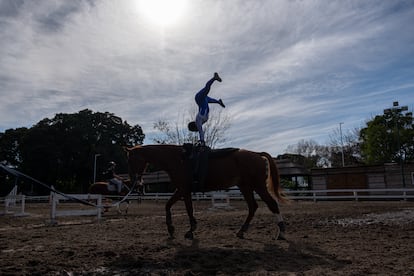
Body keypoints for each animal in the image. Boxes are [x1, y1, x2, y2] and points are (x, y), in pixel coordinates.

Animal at [126, 143, 288, 240]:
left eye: (131, 161)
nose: (134, 180)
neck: (178, 160)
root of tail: (257, 154)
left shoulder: (183, 190)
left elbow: (180, 208)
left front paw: (181, 229)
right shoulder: (184, 191)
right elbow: (178, 207)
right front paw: (181, 229)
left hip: (258, 186)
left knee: (272, 204)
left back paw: (281, 232)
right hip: (245, 187)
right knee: (253, 207)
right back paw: (242, 231)